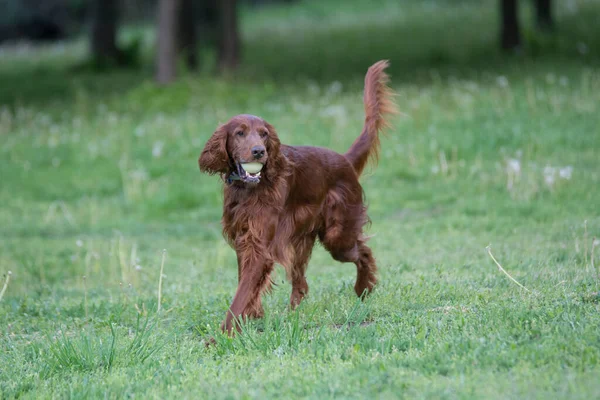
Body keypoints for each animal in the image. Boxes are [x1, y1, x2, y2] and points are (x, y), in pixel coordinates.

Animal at [198, 60, 398, 334]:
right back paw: (294, 313)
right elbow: (246, 285)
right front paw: (253, 315)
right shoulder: (243, 238)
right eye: (240, 133)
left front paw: (225, 332)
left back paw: (363, 288)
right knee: (301, 283)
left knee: (363, 251)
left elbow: (242, 292)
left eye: (264, 134)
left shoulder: (259, 247)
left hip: (336, 236)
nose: (258, 151)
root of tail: (344, 160)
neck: (249, 188)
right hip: (301, 238)